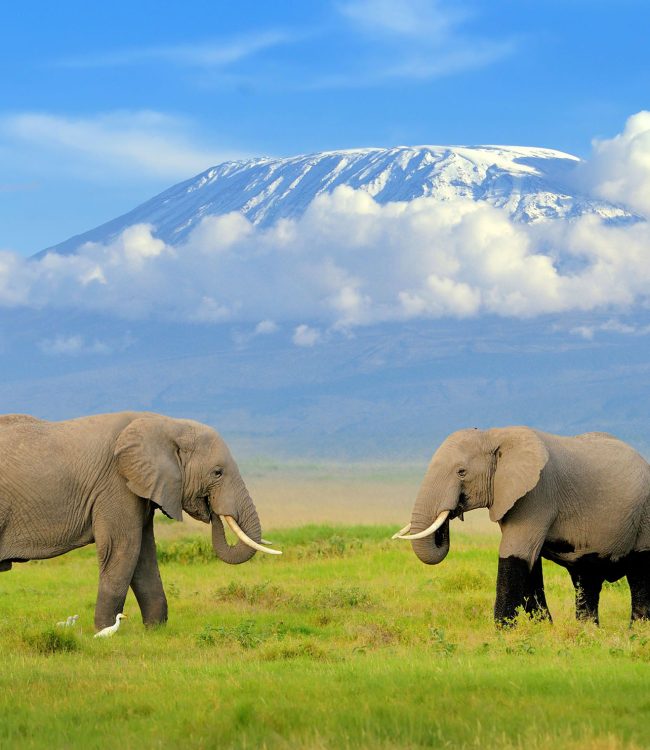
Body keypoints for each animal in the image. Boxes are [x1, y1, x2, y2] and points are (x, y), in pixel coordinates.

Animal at [0, 411, 280, 630]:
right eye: (217, 473)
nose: (212, 510)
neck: (168, 424)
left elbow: (145, 554)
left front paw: (155, 630)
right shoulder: (116, 484)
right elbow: (124, 548)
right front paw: (105, 632)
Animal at [392, 427, 650, 625]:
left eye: (461, 472)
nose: (452, 512)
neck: (494, 435)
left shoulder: (537, 495)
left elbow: (515, 554)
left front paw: (503, 633)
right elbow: (530, 562)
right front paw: (542, 629)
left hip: (645, 514)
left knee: (639, 572)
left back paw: (636, 633)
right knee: (587, 579)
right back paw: (588, 633)